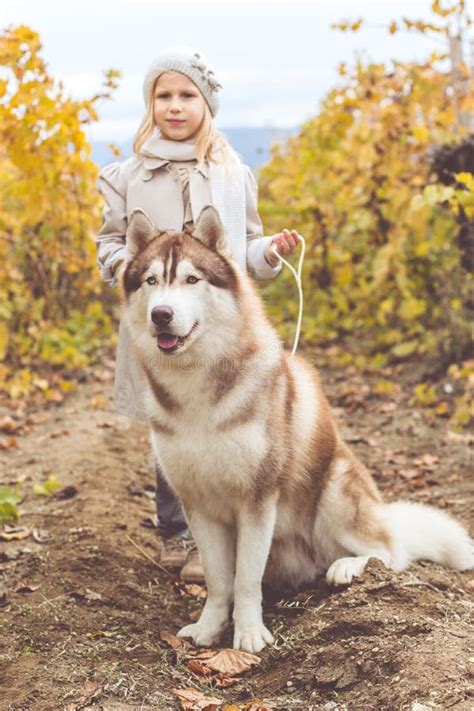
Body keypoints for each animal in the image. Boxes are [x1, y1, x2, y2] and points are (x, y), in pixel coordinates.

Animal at [123, 207, 474, 656]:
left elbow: (245, 577)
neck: (197, 388)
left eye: (191, 279)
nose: (161, 315)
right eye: (151, 281)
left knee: (390, 552)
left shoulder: (258, 499)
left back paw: (349, 567)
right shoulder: (197, 501)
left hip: (334, 492)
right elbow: (219, 580)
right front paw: (209, 627)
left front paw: (248, 634)